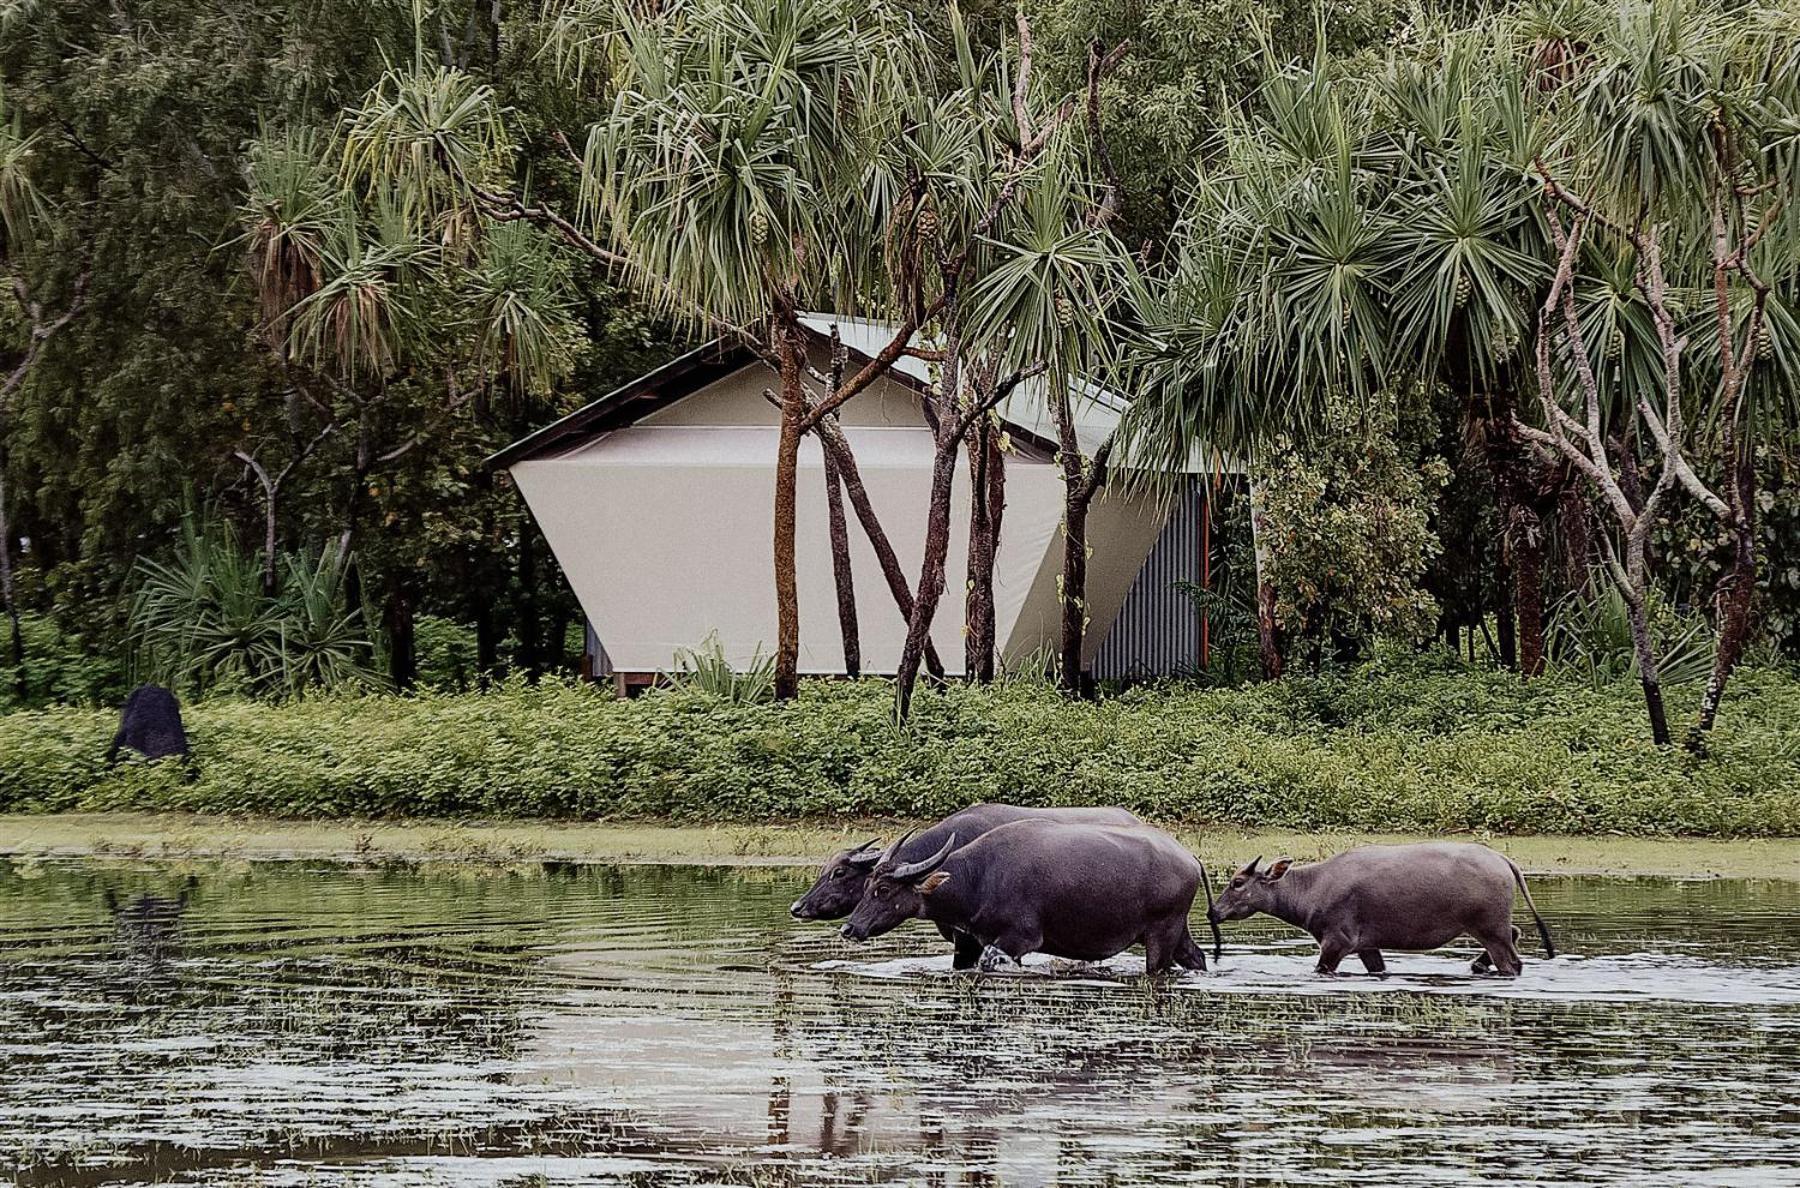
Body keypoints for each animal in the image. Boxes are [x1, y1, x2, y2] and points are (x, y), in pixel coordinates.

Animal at [835, 817, 1216, 972]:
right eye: (865, 888)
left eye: (884, 890)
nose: (849, 928)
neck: (980, 877)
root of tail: (1189, 858)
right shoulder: (976, 943)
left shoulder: (1018, 940)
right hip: (1177, 933)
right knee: (1197, 958)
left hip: (1161, 935)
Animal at [1202, 835, 1555, 972]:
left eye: (1237, 883)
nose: (1213, 911)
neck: (1312, 887)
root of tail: (1503, 860)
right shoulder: (1367, 946)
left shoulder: (1336, 943)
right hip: (1492, 927)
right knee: (1514, 933)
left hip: (1489, 928)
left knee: (1512, 962)